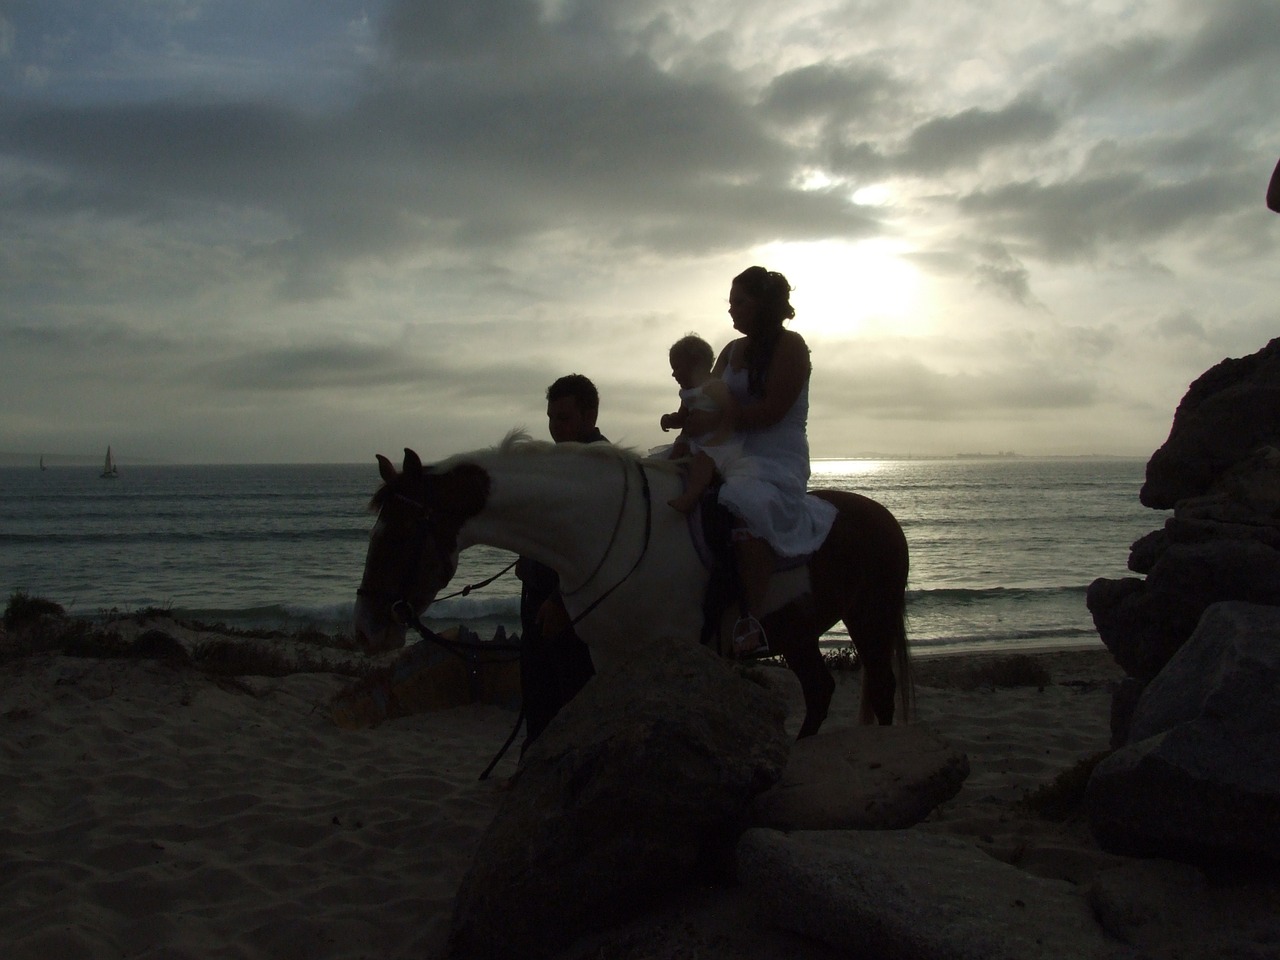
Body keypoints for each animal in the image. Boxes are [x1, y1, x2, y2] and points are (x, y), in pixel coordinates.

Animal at [350, 432, 911, 742]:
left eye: (401, 534)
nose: (368, 628)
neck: (603, 532)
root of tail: (885, 517)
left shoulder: (680, 646)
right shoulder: (608, 652)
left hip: (870, 619)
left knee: (882, 691)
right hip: (798, 632)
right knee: (819, 692)